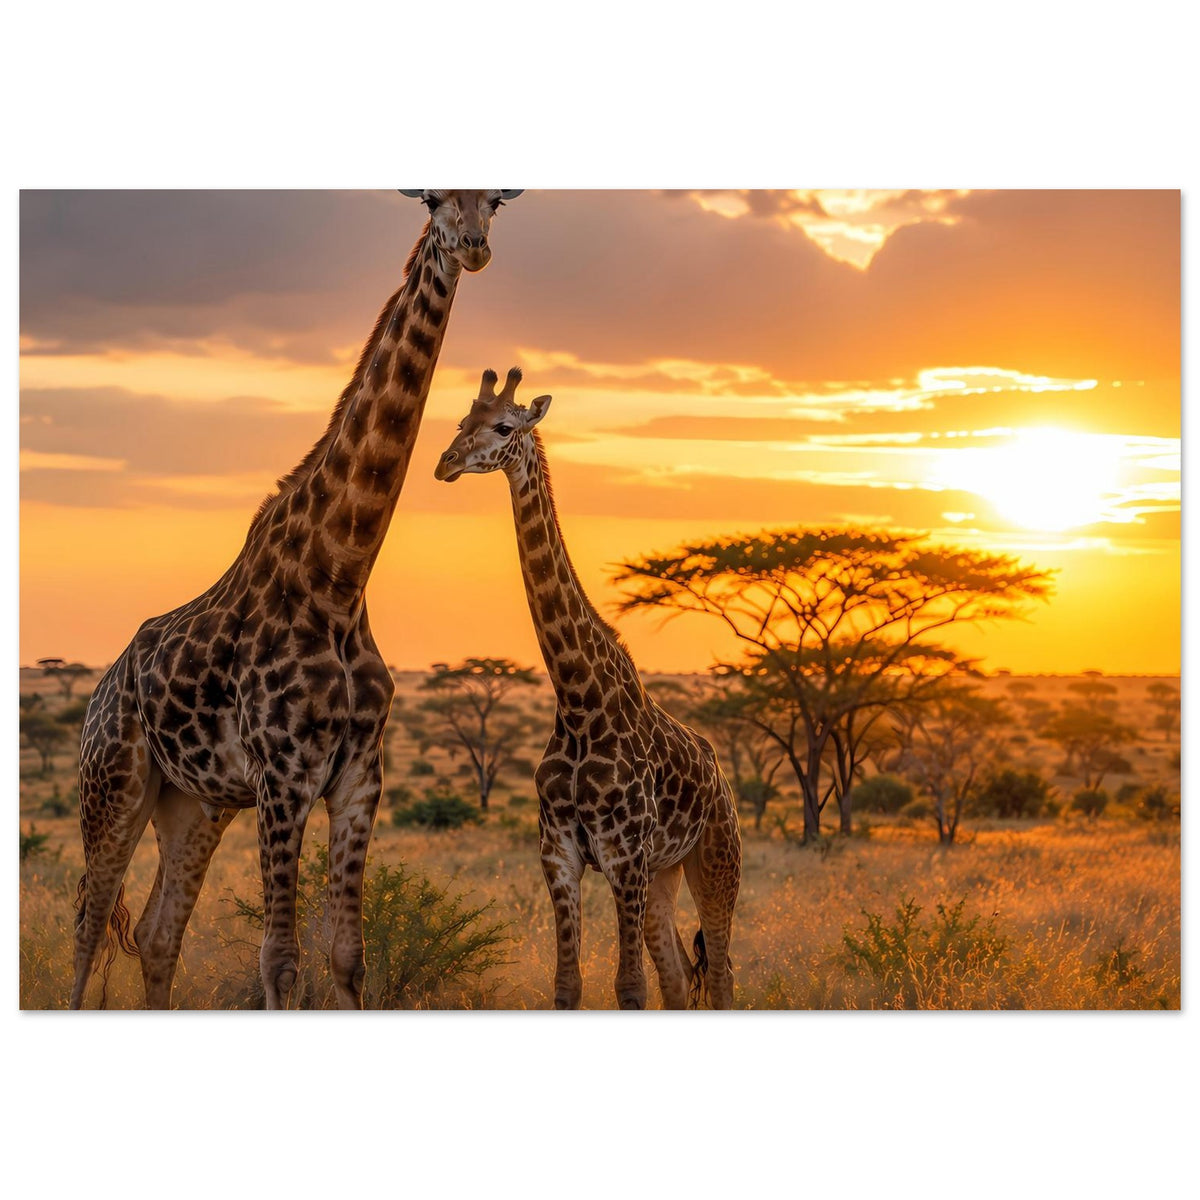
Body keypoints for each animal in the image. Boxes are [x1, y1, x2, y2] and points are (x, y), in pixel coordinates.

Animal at [70, 189, 524, 1010]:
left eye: (496, 202)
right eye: (434, 199)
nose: (472, 246)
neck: (338, 578)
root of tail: (101, 686)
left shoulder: (358, 776)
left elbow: (346, 956)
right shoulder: (283, 776)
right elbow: (279, 959)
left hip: (194, 802)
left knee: (156, 932)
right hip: (113, 782)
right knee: (90, 920)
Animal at [434, 368, 742, 1009]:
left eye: (504, 427)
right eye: (460, 421)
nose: (445, 463)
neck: (577, 699)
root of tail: (722, 779)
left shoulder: (623, 855)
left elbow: (629, 986)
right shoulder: (559, 853)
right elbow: (568, 984)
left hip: (715, 859)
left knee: (722, 972)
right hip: (664, 873)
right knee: (681, 975)